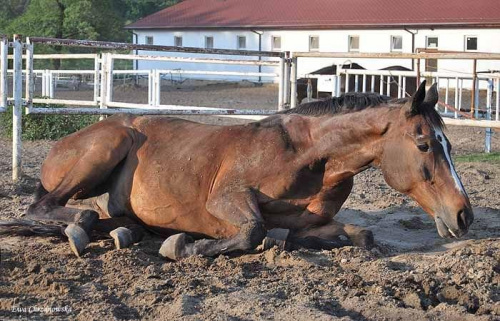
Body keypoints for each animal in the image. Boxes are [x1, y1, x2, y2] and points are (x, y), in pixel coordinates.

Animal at [23, 80, 474, 258]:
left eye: (449, 144)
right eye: (424, 144)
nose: (464, 215)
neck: (308, 156)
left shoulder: (310, 222)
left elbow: (361, 235)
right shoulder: (226, 199)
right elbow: (254, 230)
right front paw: (185, 246)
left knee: (107, 217)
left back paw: (122, 232)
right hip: (106, 147)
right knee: (47, 207)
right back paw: (83, 229)